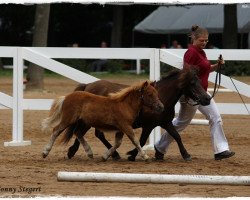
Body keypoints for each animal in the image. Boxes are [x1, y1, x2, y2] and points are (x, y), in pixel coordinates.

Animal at [66, 67, 211, 161]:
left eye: (199, 81)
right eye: (192, 83)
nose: (207, 98)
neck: (161, 97)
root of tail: (88, 85)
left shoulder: (165, 122)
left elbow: (176, 136)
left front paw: (186, 155)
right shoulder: (148, 126)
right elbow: (140, 140)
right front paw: (132, 154)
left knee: (91, 133)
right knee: (83, 132)